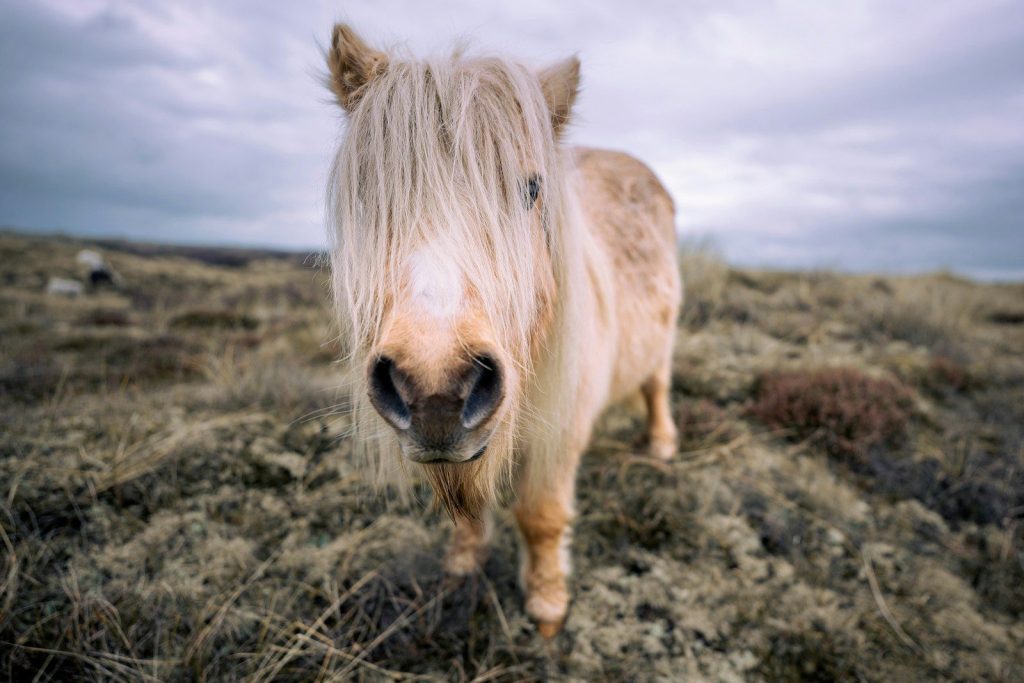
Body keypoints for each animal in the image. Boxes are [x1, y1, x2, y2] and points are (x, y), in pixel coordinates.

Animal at [324, 24, 681, 637]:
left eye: (531, 190)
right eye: (370, 194)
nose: (435, 388)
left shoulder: (563, 429)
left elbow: (541, 516)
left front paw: (547, 606)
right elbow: (469, 515)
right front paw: (462, 566)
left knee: (656, 386)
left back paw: (660, 445)